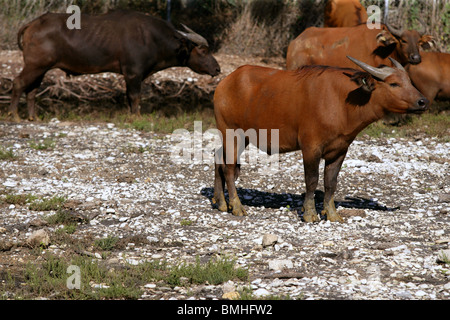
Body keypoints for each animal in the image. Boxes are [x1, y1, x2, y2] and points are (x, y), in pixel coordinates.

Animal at [9, 10, 221, 121]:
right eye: (203, 51)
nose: (217, 69)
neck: (153, 39)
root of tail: (34, 23)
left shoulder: (131, 75)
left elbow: (128, 97)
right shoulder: (133, 73)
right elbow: (135, 96)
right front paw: (136, 117)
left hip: (41, 68)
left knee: (32, 90)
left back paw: (33, 117)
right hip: (35, 65)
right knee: (18, 83)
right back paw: (15, 116)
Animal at [213, 57, 428, 222]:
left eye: (409, 81)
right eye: (394, 84)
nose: (423, 101)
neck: (342, 102)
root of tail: (225, 82)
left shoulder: (340, 150)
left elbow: (330, 182)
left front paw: (332, 214)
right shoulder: (311, 147)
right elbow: (312, 180)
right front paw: (310, 213)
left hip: (240, 137)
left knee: (218, 158)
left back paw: (221, 202)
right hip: (232, 132)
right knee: (229, 167)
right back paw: (236, 206)